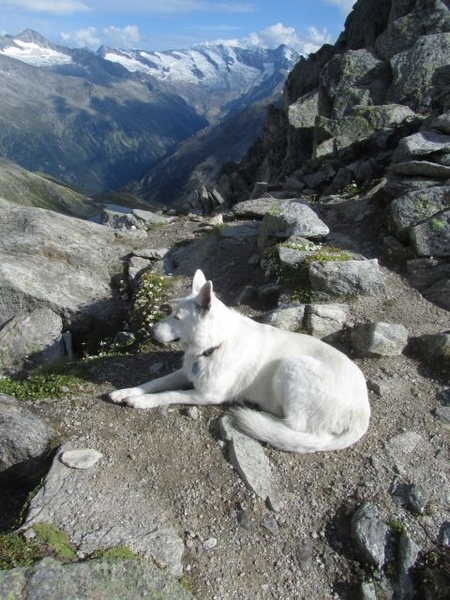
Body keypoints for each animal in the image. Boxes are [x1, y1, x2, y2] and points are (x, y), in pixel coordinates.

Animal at [109, 270, 370, 452]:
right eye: (171, 313)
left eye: (177, 317)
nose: (150, 331)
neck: (214, 345)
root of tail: (362, 415)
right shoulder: (186, 372)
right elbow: (154, 382)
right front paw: (126, 392)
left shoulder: (208, 395)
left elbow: (168, 394)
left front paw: (142, 401)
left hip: (291, 366)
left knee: (296, 426)